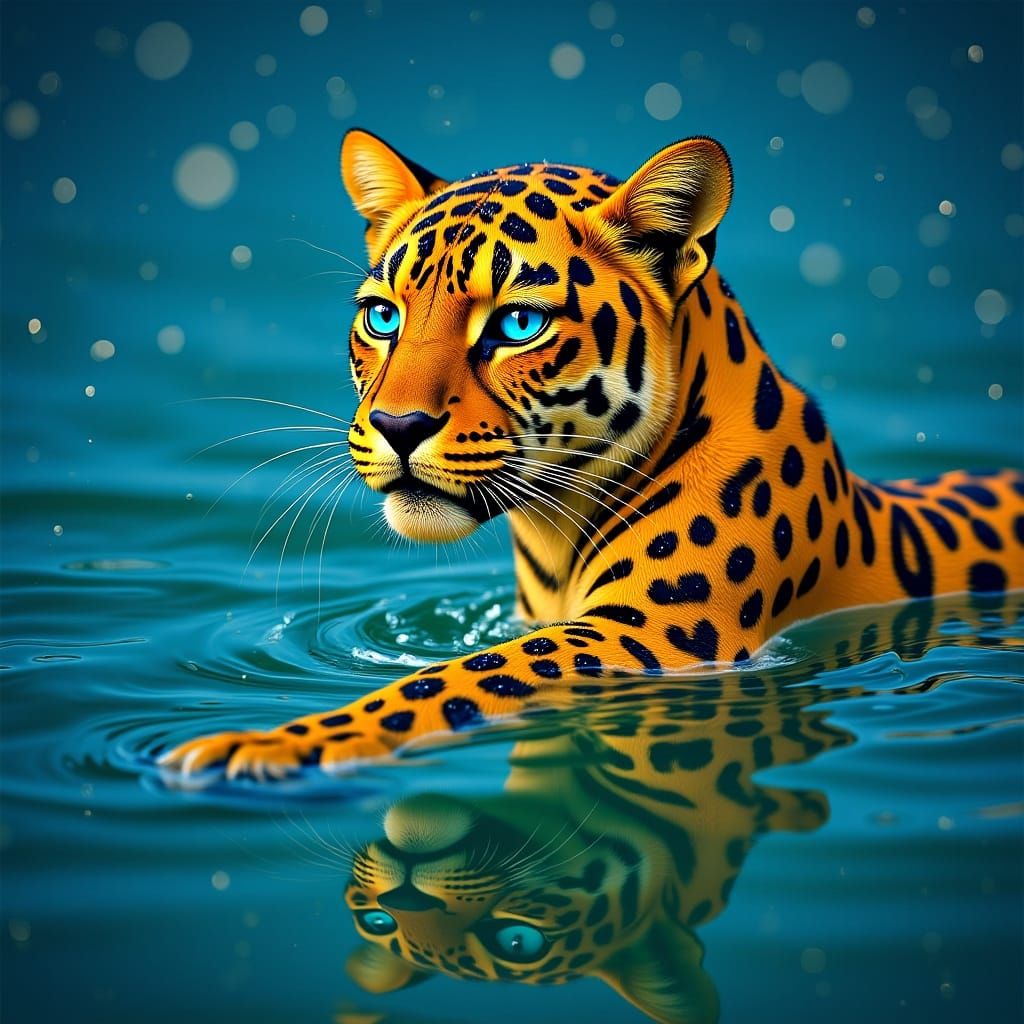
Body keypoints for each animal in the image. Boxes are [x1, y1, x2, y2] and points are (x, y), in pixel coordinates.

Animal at [160, 129, 1024, 782]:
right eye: (382, 317)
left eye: (517, 324)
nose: (399, 425)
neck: (555, 532)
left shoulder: (650, 633)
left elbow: (443, 683)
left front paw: (259, 748)